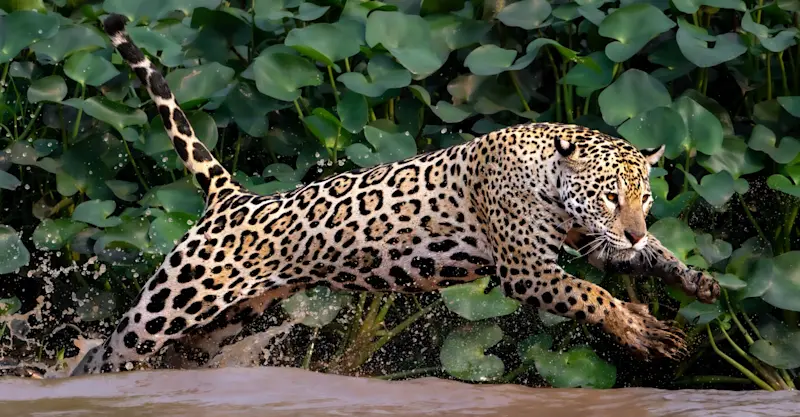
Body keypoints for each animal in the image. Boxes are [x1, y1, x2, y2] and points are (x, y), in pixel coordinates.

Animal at [70, 13, 720, 376]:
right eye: (609, 195)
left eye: (645, 202)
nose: (632, 228)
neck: (552, 179)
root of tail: (234, 198)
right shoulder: (526, 270)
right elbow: (591, 295)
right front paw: (642, 330)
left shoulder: (592, 243)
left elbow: (652, 258)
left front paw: (698, 282)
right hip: (168, 307)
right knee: (105, 353)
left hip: (223, 321)